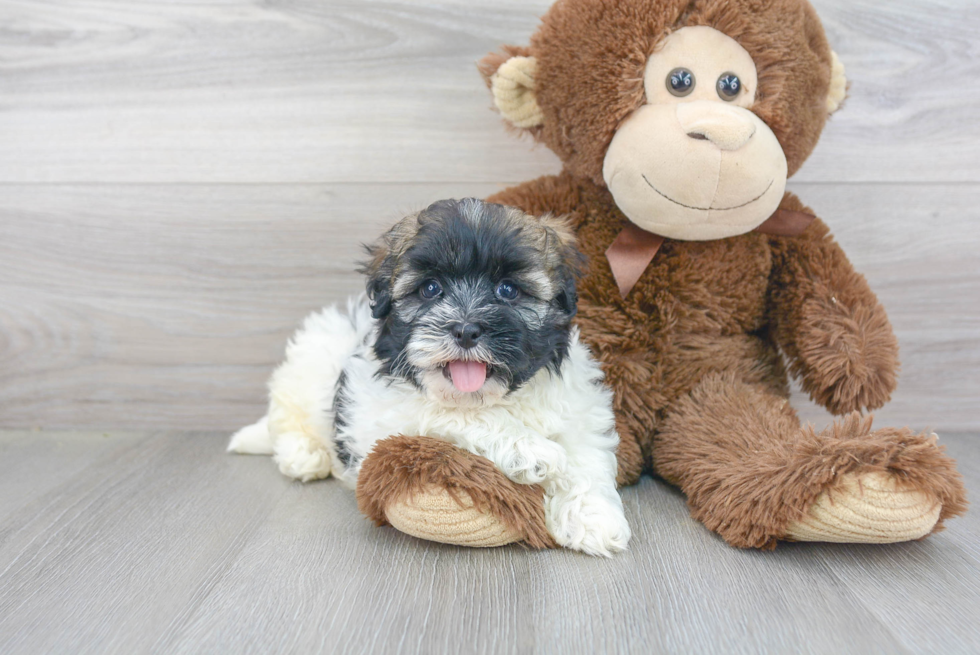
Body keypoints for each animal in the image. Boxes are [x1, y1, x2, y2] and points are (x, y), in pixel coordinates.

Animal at [229, 197, 628, 556]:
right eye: (431, 289)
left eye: (508, 290)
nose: (466, 329)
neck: (495, 396)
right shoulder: (394, 412)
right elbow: (459, 416)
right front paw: (531, 450)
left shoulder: (580, 404)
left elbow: (586, 454)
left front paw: (593, 517)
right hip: (308, 368)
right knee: (286, 419)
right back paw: (303, 454)